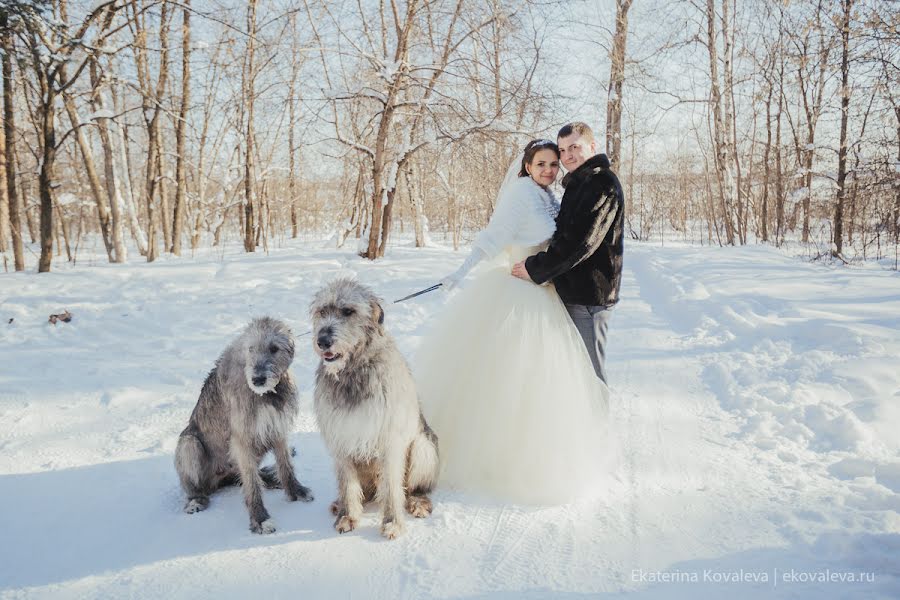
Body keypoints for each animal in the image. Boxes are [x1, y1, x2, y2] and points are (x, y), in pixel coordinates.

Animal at [175, 316, 312, 532]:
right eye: (251, 349)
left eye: (274, 348)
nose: (258, 379)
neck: (266, 394)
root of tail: (222, 479)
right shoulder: (242, 438)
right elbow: (251, 483)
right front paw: (260, 519)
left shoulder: (277, 427)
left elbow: (285, 463)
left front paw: (295, 491)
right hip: (189, 444)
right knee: (199, 483)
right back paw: (196, 500)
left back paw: (269, 478)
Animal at [312, 278, 442, 540]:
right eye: (321, 311)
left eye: (348, 311)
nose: (322, 340)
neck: (352, 370)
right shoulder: (340, 438)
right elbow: (347, 483)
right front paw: (348, 515)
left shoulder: (390, 439)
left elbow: (392, 486)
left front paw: (392, 522)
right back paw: (339, 504)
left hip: (423, 447)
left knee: (412, 487)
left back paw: (418, 502)